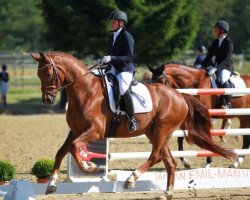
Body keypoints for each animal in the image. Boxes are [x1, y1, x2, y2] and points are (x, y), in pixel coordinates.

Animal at [30, 52, 235, 200]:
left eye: (49, 73)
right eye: (38, 74)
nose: (47, 100)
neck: (85, 91)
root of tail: (179, 94)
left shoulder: (95, 131)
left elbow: (74, 148)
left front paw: (90, 167)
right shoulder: (75, 131)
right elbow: (61, 152)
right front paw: (51, 184)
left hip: (162, 130)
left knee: (156, 155)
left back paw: (131, 179)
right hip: (155, 132)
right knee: (169, 160)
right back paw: (166, 193)